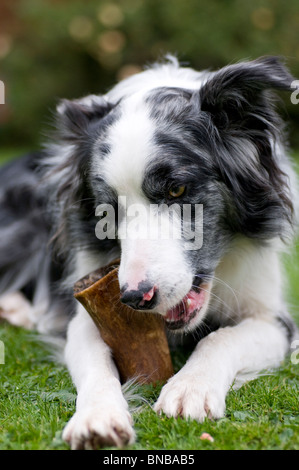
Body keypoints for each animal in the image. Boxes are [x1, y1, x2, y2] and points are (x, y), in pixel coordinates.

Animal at [0, 55, 299, 448]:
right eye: (106, 208)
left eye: (177, 190)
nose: (134, 297)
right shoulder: (88, 308)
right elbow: (94, 357)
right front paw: (98, 417)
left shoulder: (271, 317)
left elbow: (221, 338)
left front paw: (190, 389)